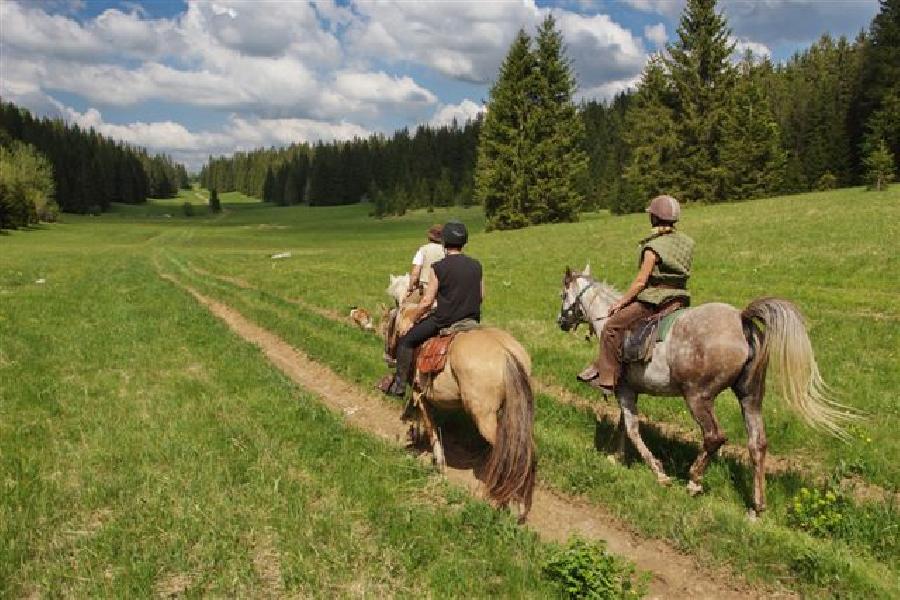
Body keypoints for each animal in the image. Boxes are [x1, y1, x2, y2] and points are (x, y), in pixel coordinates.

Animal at [384, 282, 536, 520]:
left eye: (390, 323)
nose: (388, 356)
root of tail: (506, 354)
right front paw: (411, 436)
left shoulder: (420, 393)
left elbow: (429, 425)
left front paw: (437, 462)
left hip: (484, 417)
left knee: (510, 450)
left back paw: (505, 500)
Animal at [556, 264, 856, 516]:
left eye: (563, 294)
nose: (561, 322)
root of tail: (741, 319)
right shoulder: (629, 390)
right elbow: (624, 426)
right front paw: (617, 457)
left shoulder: (623, 390)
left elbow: (631, 428)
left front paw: (659, 473)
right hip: (750, 396)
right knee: (757, 444)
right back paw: (756, 507)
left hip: (697, 397)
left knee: (714, 437)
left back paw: (694, 481)